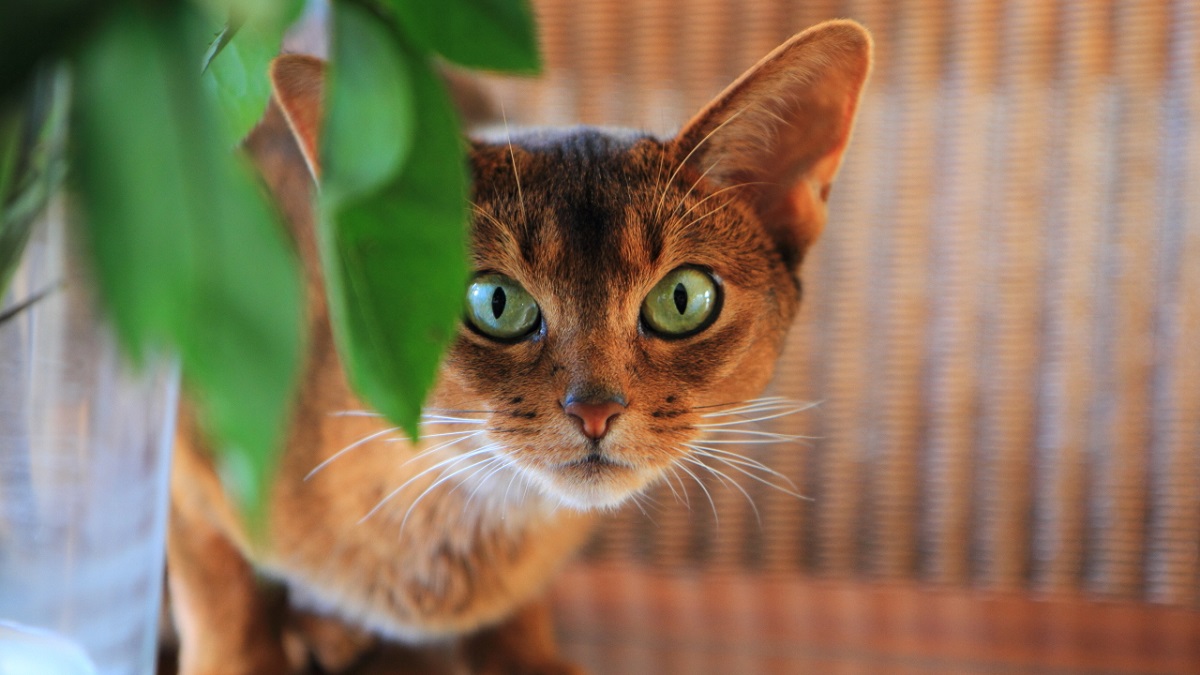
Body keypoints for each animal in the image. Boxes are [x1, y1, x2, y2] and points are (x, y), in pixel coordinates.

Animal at [164, 19, 873, 672]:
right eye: (497, 303)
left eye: (682, 299)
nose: (595, 411)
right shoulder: (178, 446)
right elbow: (224, 600)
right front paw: (240, 658)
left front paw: (525, 654)